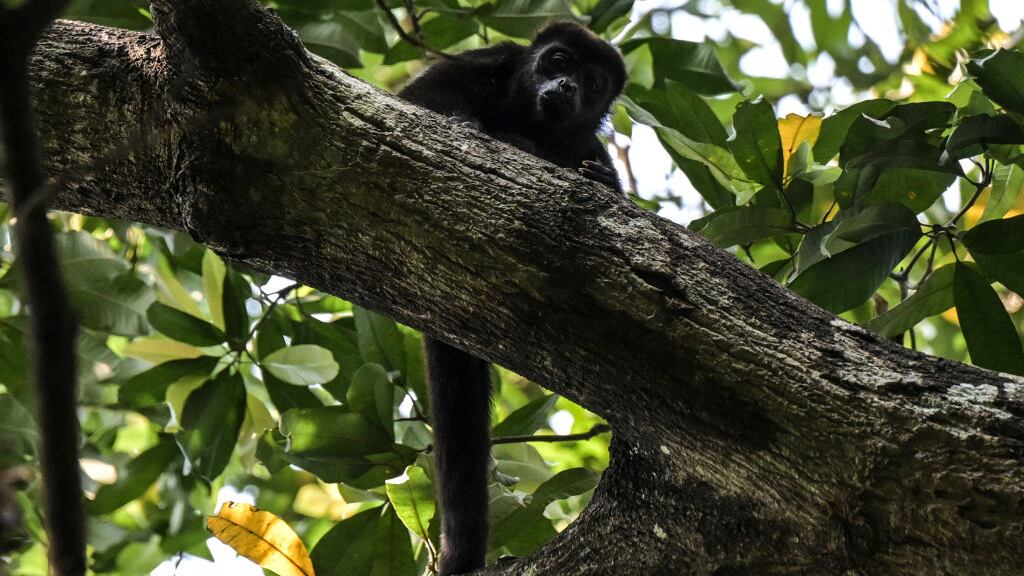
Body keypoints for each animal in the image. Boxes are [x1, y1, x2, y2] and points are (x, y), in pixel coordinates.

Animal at [397, 21, 626, 576]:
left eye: (591, 82)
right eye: (558, 61)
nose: (566, 86)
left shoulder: (589, 142)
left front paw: (595, 179)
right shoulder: (491, 59)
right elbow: (415, 98)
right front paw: (468, 123)